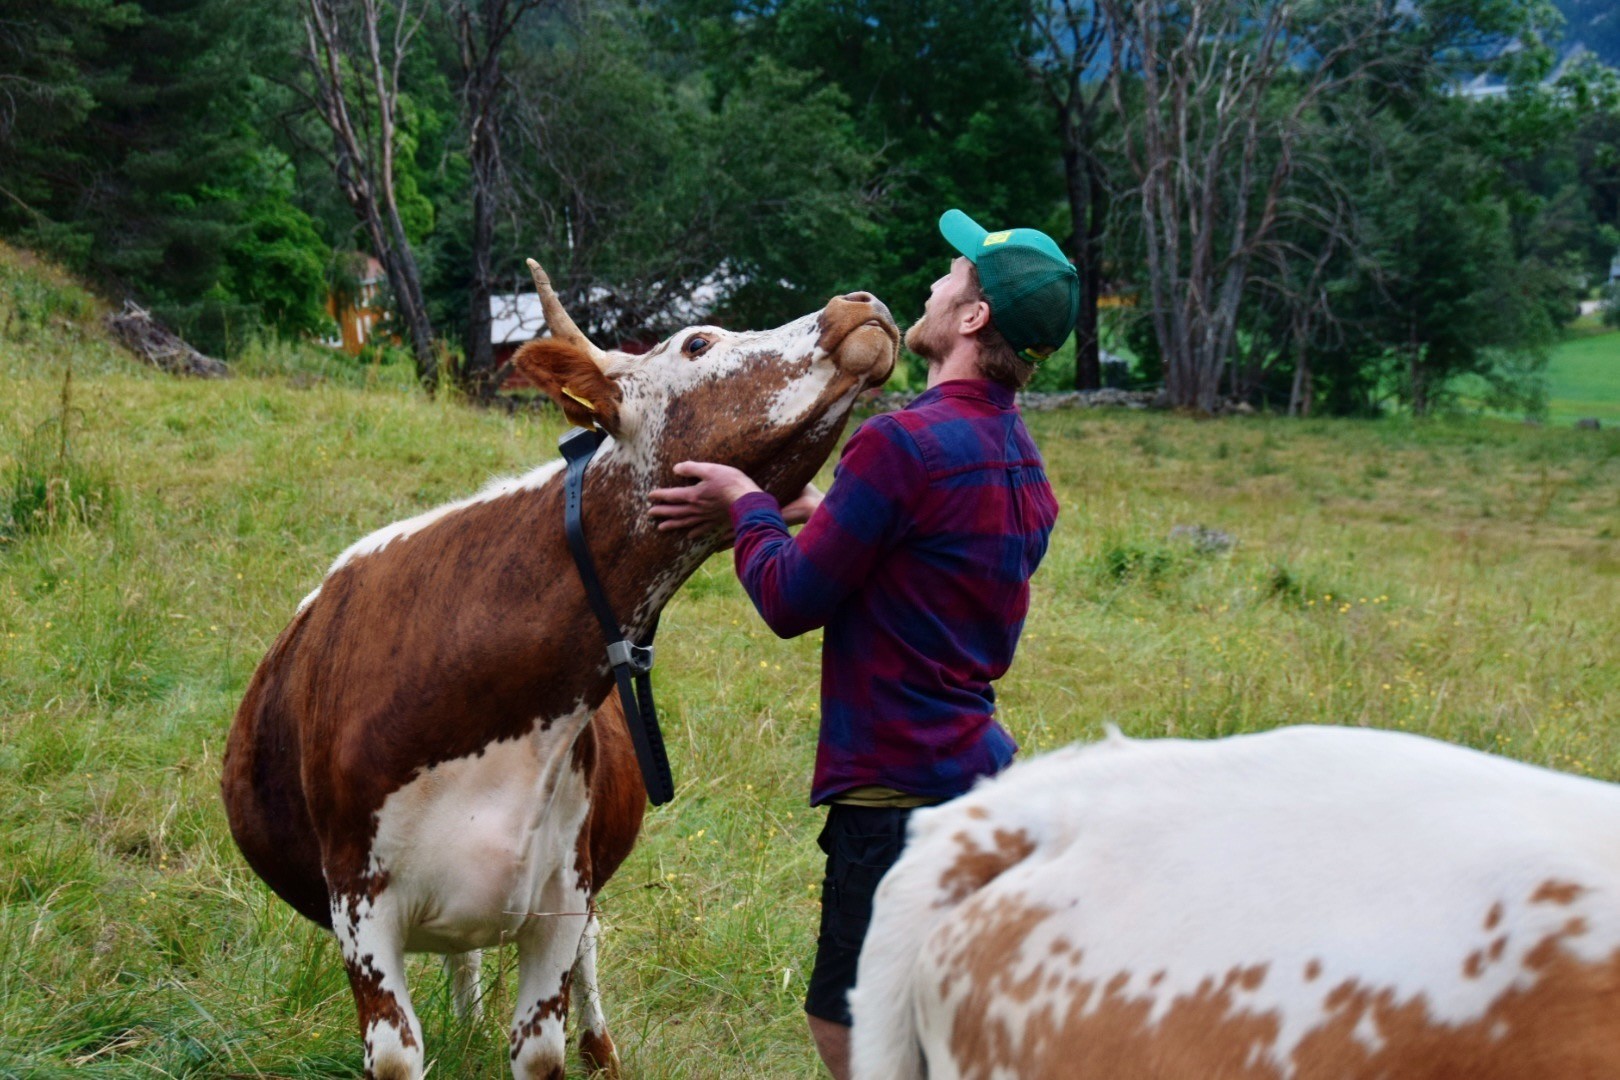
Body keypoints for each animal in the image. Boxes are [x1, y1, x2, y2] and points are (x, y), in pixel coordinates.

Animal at [221, 263, 898, 1080]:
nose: (860, 303)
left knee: (587, 952)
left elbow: (545, 1045)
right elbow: (397, 1055)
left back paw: (594, 1046)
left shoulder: (561, 895)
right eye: (698, 343)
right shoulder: (358, 903)